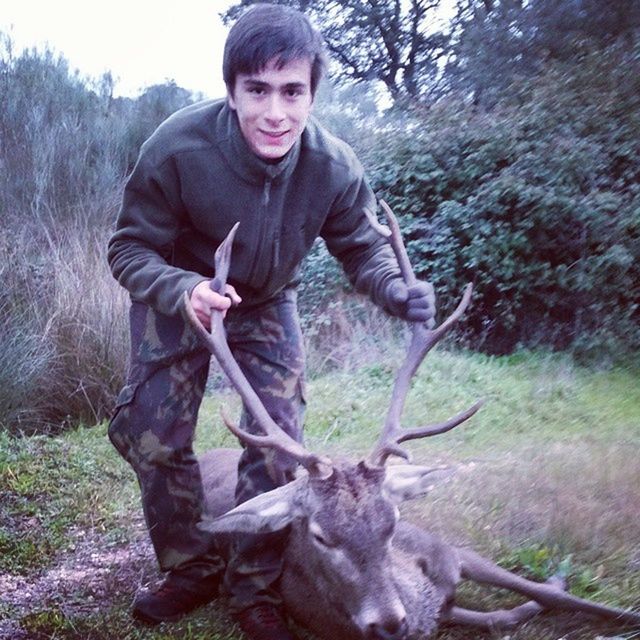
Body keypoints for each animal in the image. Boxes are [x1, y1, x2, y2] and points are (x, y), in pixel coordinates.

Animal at [181, 204, 640, 640]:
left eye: (393, 522)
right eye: (320, 536)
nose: (388, 623)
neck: (419, 595)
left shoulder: (450, 551)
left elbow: (541, 600)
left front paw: (584, 596)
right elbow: (504, 615)